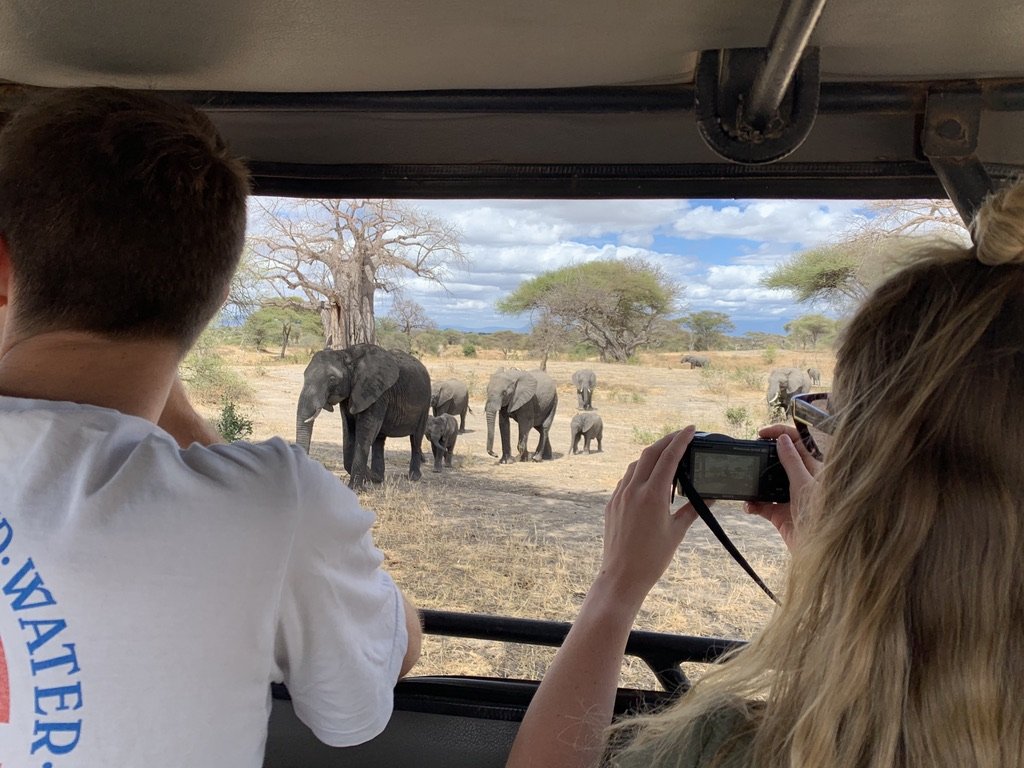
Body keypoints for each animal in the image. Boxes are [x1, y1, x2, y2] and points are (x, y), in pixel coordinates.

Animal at [294, 346, 430, 489]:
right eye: (304, 375)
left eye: (332, 379)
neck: (348, 354)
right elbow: (349, 430)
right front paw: (368, 478)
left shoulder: (377, 392)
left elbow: (366, 431)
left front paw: (356, 488)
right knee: (379, 439)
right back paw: (378, 477)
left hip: (425, 403)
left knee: (416, 439)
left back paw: (414, 477)